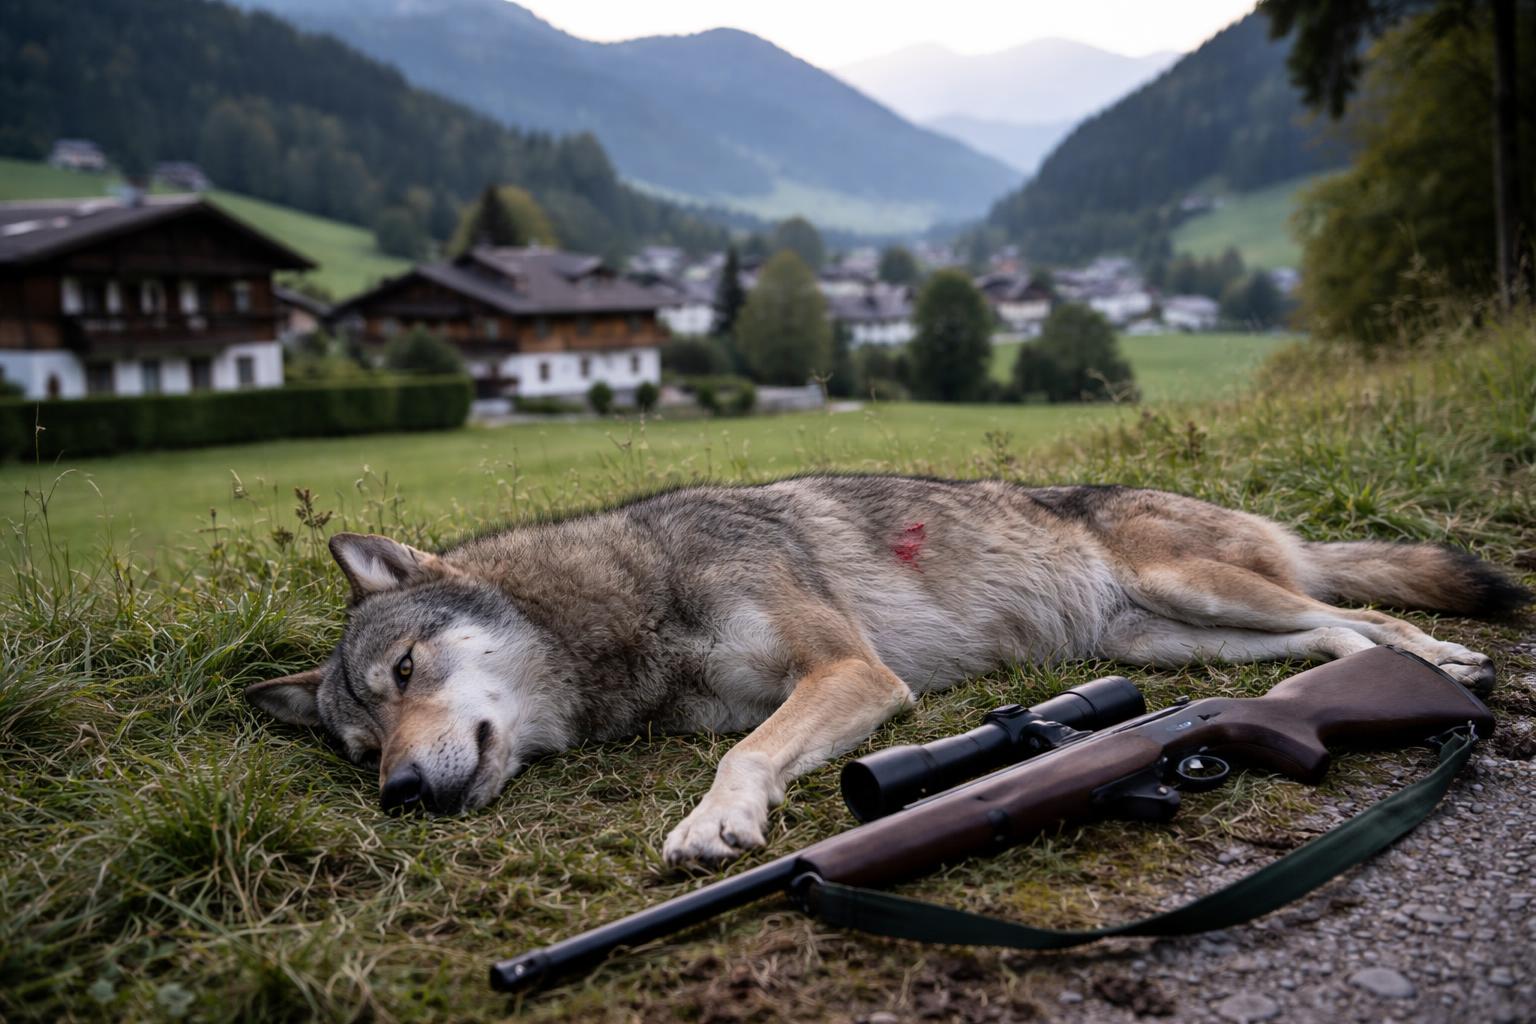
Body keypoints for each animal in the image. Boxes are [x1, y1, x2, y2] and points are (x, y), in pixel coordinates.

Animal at [246, 476, 1529, 866]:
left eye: (407, 666)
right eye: (359, 747)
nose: (399, 794)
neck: (632, 602)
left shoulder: (853, 675)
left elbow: (744, 752)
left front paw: (712, 824)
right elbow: (743, 738)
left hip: (1209, 592)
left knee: (1358, 610)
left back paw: (1445, 654)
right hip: (1167, 641)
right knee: (1333, 637)